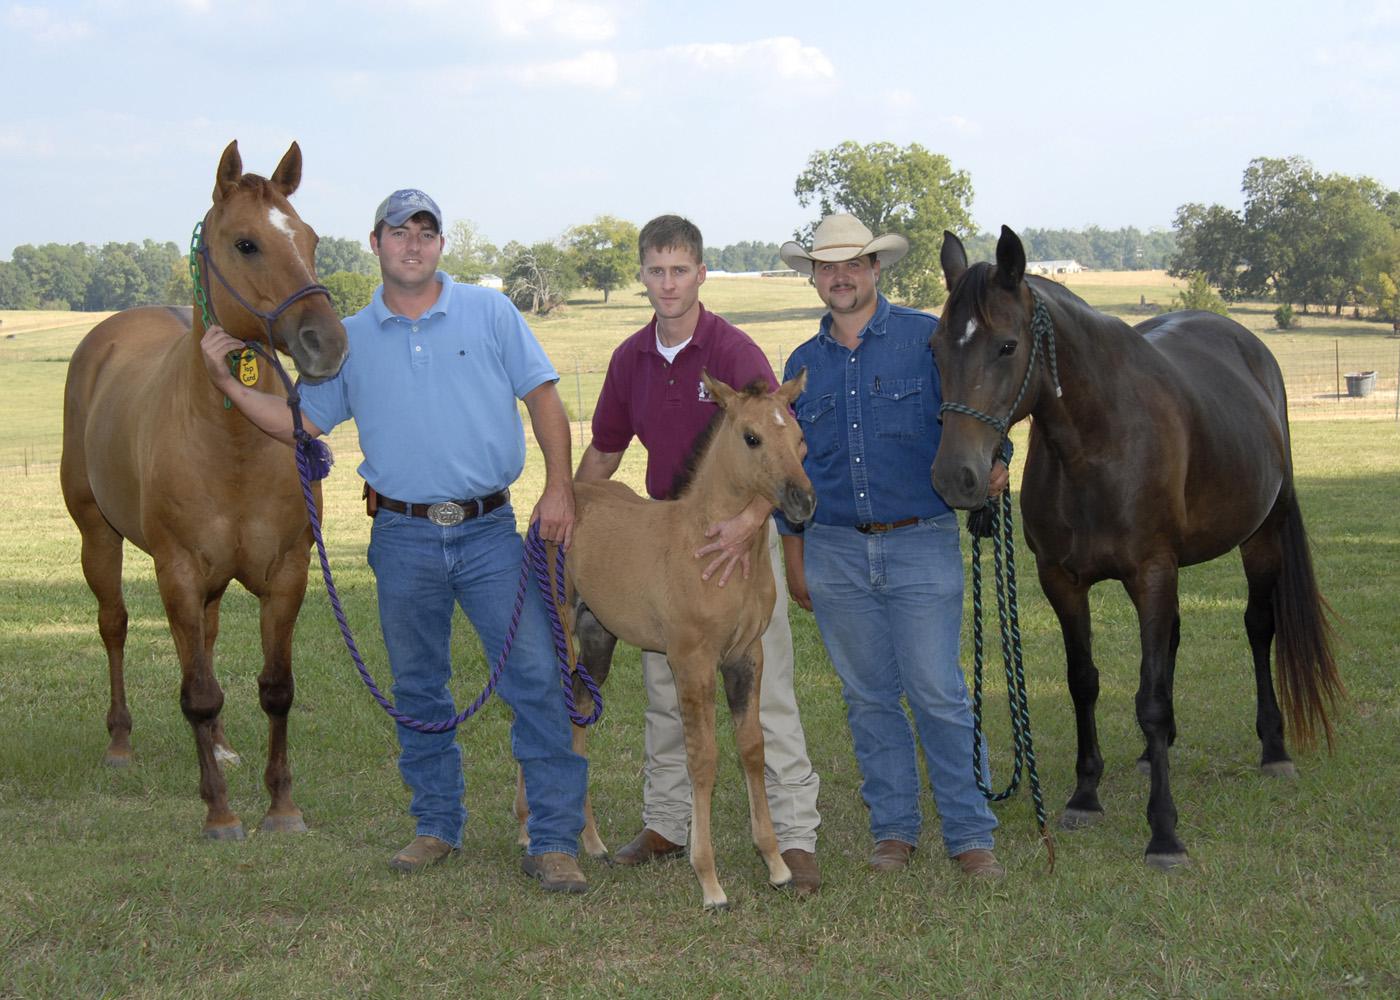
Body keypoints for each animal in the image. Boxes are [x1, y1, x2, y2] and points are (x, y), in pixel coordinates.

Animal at [62, 140, 350, 834]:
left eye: (310, 237)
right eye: (247, 244)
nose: (327, 344)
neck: (233, 444)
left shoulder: (286, 572)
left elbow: (275, 688)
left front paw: (281, 806)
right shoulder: (179, 571)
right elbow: (196, 692)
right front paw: (219, 813)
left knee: (207, 642)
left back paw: (220, 745)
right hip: (99, 537)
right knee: (114, 626)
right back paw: (120, 743)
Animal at [929, 225, 1344, 862]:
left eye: (1006, 346)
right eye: (934, 348)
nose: (957, 478)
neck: (1096, 444)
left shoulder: (1151, 571)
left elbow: (1149, 698)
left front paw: (1164, 832)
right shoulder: (1064, 581)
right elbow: (1085, 683)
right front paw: (1085, 795)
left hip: (1262, 539)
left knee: (1258, 627)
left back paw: (1273, 749)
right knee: (1171, 642)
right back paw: (1157, 752)